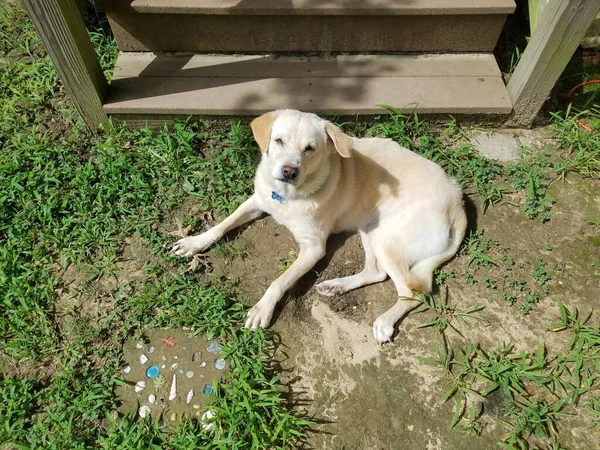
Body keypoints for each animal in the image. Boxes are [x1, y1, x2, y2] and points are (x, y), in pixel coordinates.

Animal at [171, 110, 466, 342]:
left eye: (310, 148)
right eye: (279, 141)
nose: (289, 171)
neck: (287, 196)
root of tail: (458, 205)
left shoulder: (313, 248)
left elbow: (279, 281)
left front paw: (263, 308)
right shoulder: (258, 200)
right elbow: (223, 224)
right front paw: (195, 242)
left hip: (385, 238)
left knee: (412, 292)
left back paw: (385, 321)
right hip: (370, 229)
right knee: (376, 272)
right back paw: (336, 286)